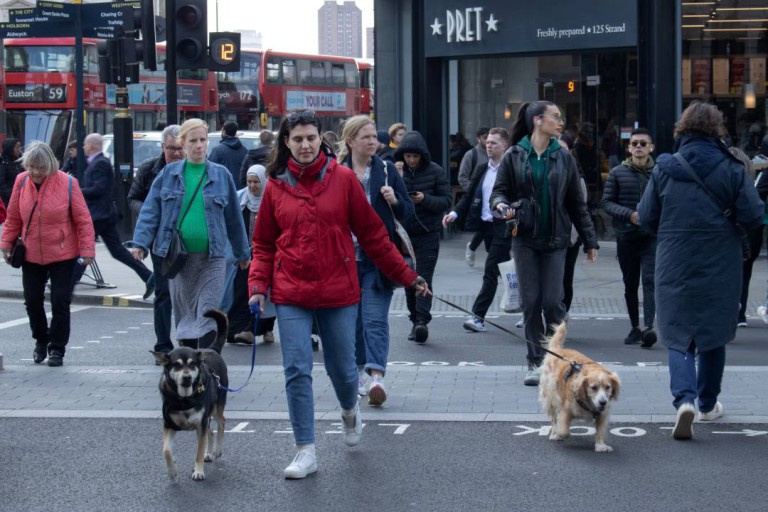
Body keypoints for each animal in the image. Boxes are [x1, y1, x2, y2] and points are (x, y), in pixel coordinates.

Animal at [153, 310, 230, 482]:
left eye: (193, 364)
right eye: (176, 365)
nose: (187, 377)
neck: (184, 399)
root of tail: (211, 349)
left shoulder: (200, 424)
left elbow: (198, 451)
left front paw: (198, 471)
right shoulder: (169, 425)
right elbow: (166, 450)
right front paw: (172, 471)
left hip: (215, 408)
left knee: (221, 422)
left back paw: (216, 450)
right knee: (210, 431)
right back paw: (209, 453)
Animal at [536, 324, 620, 452]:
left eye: (608, 387)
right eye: (593, 387)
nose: (603, 402)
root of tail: (557, 350)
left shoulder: (603, 414)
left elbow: (600, 430)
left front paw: (600, 445)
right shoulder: (566, 409)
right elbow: (564, 431)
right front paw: (559, 433)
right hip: (550, 397)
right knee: (554, 419)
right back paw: (554, 433)